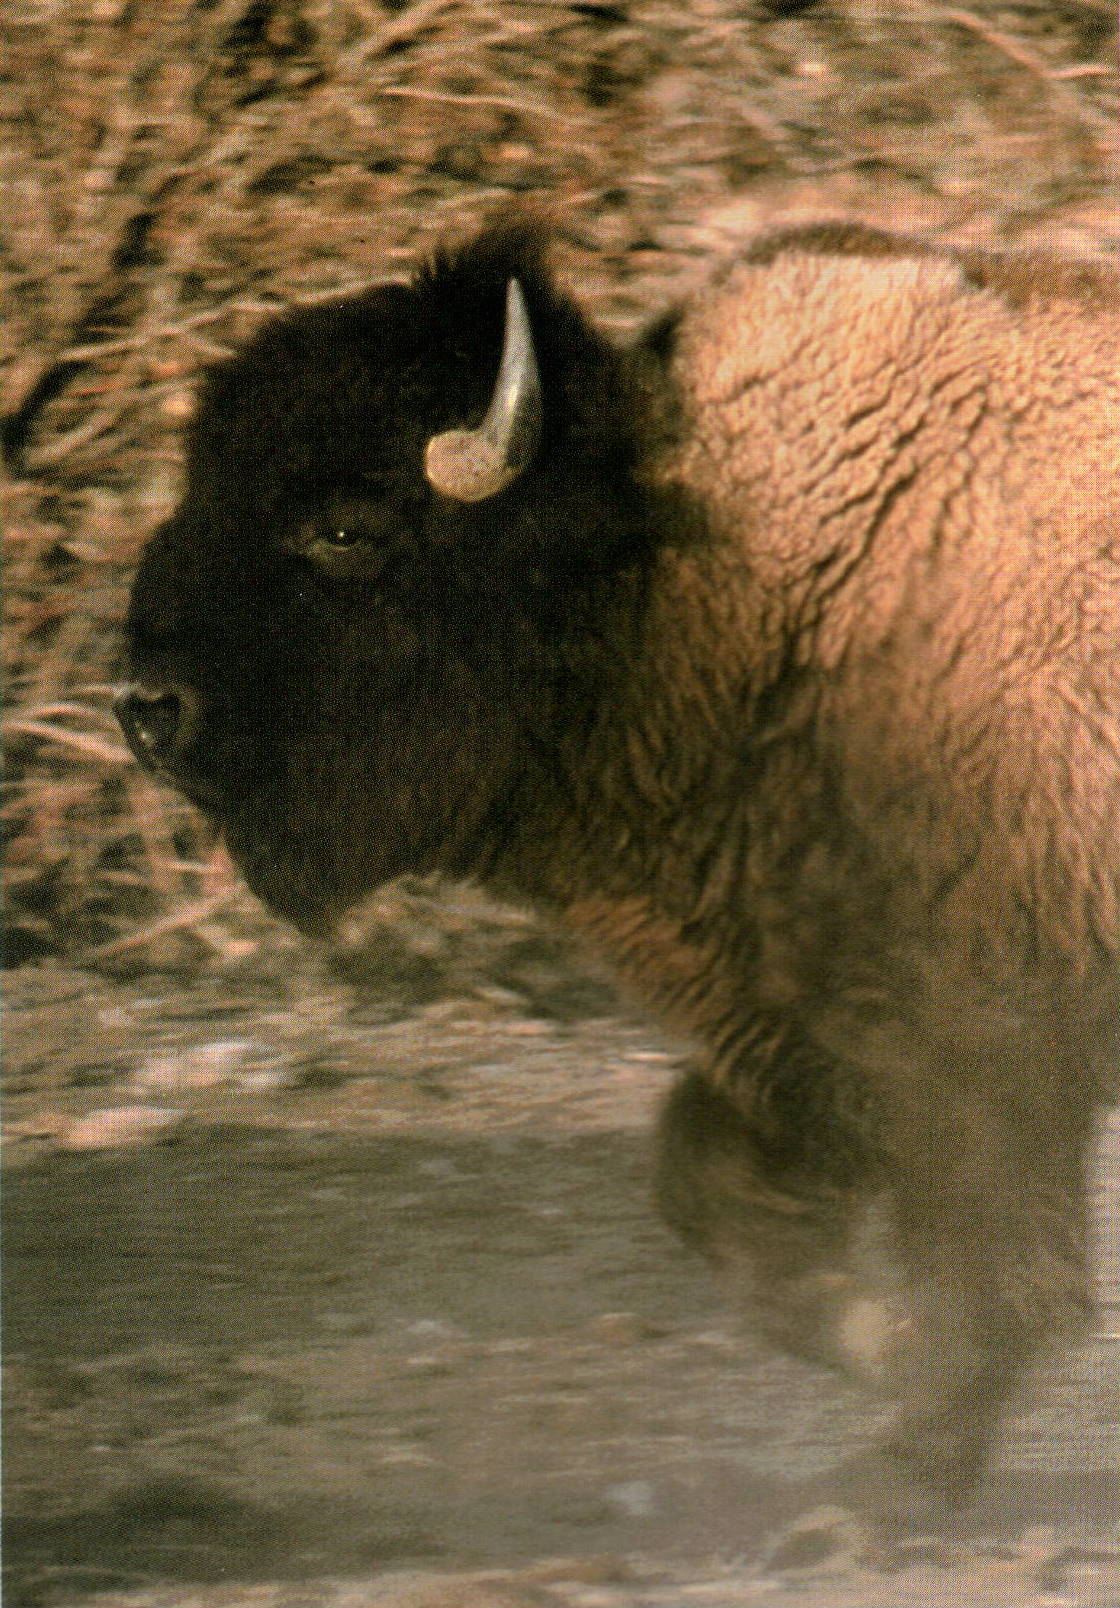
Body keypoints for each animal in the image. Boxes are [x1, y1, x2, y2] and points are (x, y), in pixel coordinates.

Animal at [117, 220, 1120, 1502]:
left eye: (345, 525)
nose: (148, 708)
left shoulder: (972, 1037)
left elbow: (986, 1271)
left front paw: (876, 1489)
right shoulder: (796, 1025)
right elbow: (704, 1186)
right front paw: (871, 1351)